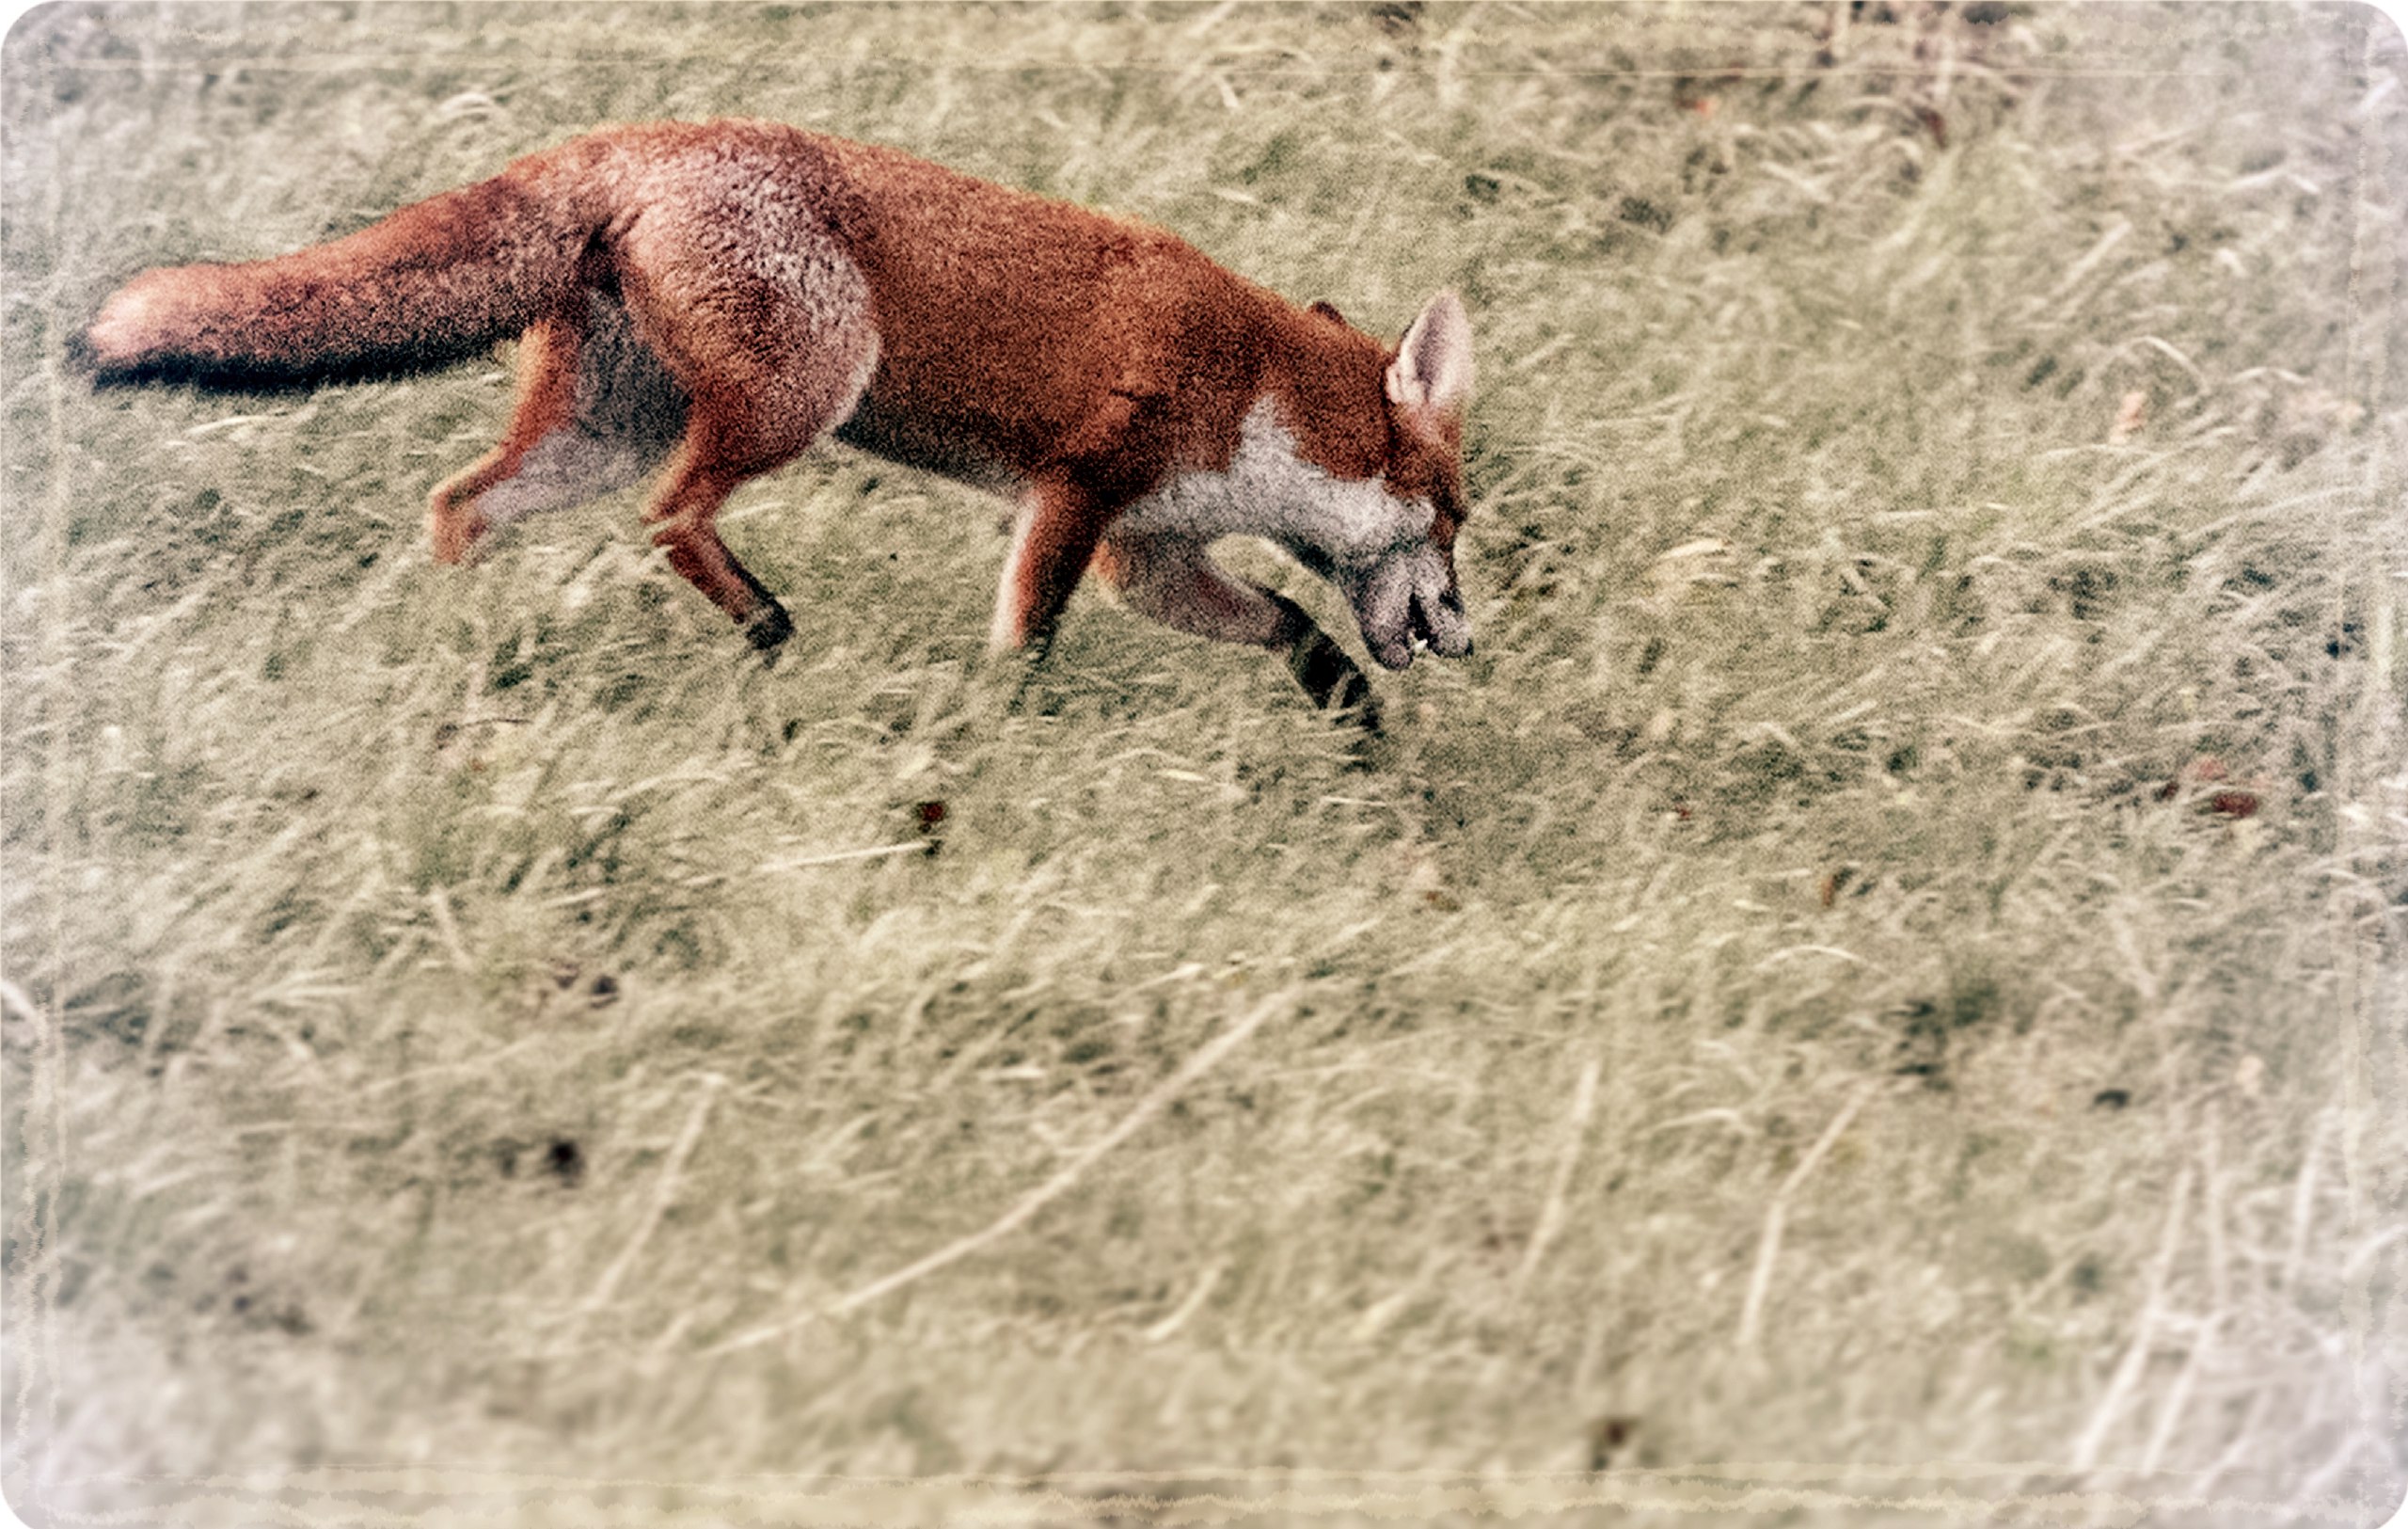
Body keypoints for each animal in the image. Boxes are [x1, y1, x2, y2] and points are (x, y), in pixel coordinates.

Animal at [77, 118, 1476, 723]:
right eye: (1458, 521)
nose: (1467, 642)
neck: (1254, 386)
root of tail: (646, 134)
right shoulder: (1078, 493)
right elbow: (1026, 644)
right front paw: (1004, 738)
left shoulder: (1151, 551)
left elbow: (1292, 624)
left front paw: (1351, 720)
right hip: (803, 392)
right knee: (670, 518)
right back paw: (762, 625)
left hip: (605, 434)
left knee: (458, 503)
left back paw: (455, 634)